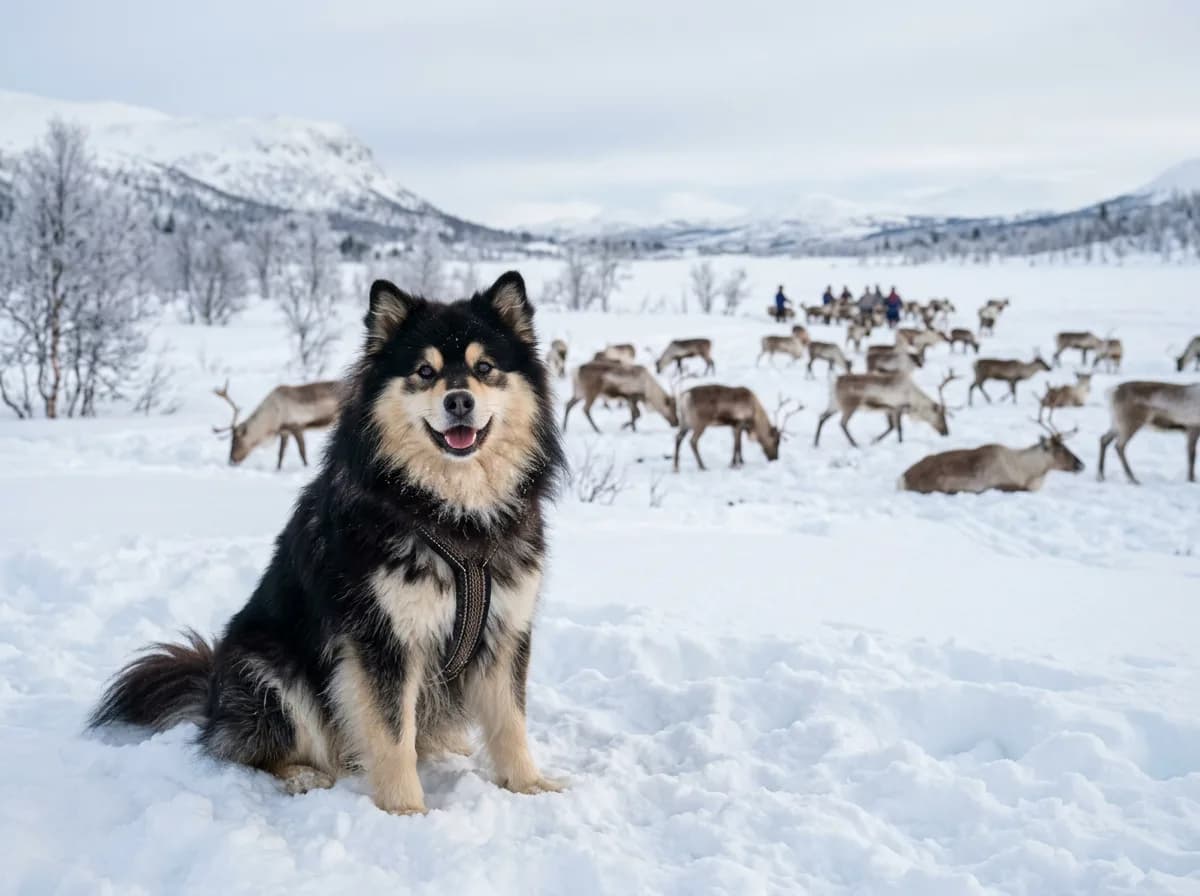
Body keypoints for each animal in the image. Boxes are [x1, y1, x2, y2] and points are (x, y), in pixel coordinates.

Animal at [213, 380, 342, 469]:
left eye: (235, 441)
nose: (231, 461)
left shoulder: (296, 426)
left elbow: (302, 451)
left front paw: (306, 466)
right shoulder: (284, 432)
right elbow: (280, 454)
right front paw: (278, 469)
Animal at [673, 387, 801, 472]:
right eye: (776, 441)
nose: (775, 458)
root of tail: (684, 397)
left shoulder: (734, 426)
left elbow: (738, 445)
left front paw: (741, 462)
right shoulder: (739, 423)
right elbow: (737, 445)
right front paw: (735, 464)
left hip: (685, 423)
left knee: (678, 438)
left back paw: (676, 467)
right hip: (700, 423)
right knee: (692, 441)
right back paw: (702, 466)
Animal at [814, 370, 958, 447]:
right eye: (941, 416)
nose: (946, 432)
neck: (913, 399)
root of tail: (835, 381)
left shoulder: (889, 410)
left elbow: (891, 427)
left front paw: (874, 441)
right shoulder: (898, 408)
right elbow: (899, 429)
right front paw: (900, 443)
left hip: (834, 405)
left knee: (821, 417)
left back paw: (815, 443)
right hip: (849, 406)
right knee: (842, 423)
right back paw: (855, 444)